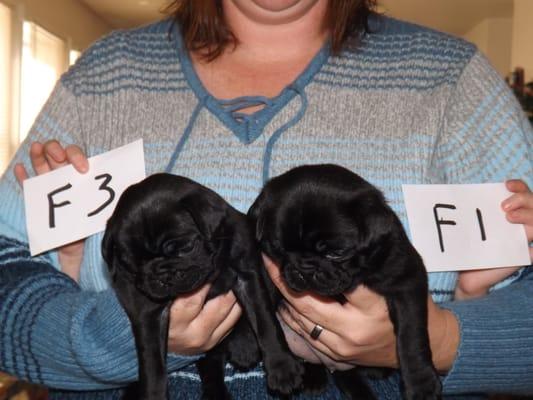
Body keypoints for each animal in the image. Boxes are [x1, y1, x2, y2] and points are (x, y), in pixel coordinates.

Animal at [102, 174, 304, 400]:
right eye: (132, 263)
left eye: (185, 247)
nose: (161, 275)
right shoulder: (148, 313)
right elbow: (152, 363)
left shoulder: (248, 275)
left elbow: (265, 322)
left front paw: (282, 367)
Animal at [247, 164, 442, 398]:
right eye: (278, 249)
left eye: (336, 253)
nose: (304, 268)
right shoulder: (264, 280)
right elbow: (266, 320)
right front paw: (280, 366)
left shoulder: (407, 280)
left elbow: (411, 336)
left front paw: (421, 385)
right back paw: (313, 377)